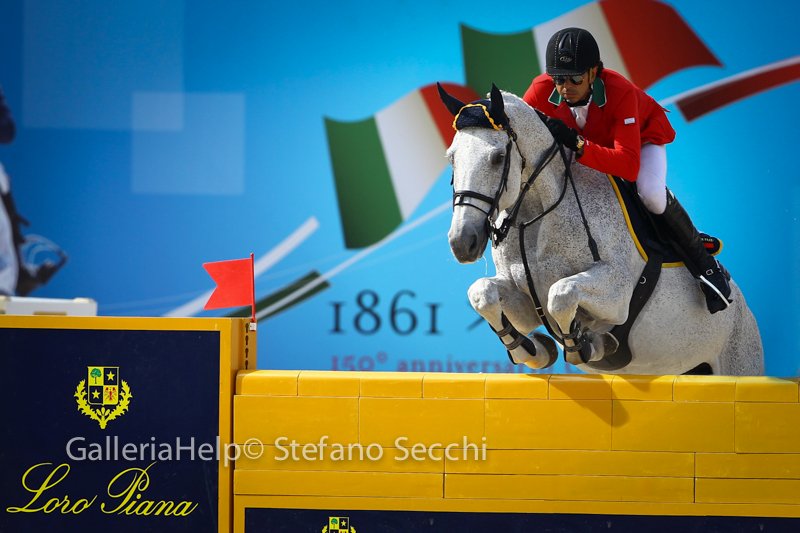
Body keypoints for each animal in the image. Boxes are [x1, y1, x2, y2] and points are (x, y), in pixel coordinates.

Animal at [439, 84, 763, 375]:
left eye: (498, 157)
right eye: (451, 158)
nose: (462, 243)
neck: (534, 215)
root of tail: (746, 312)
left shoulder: (616, 292)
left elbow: (561, 294)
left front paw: (589, 346)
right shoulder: (525, 302)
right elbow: (482, 293)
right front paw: (534, 351)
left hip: (739, 359)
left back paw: (715, 282)